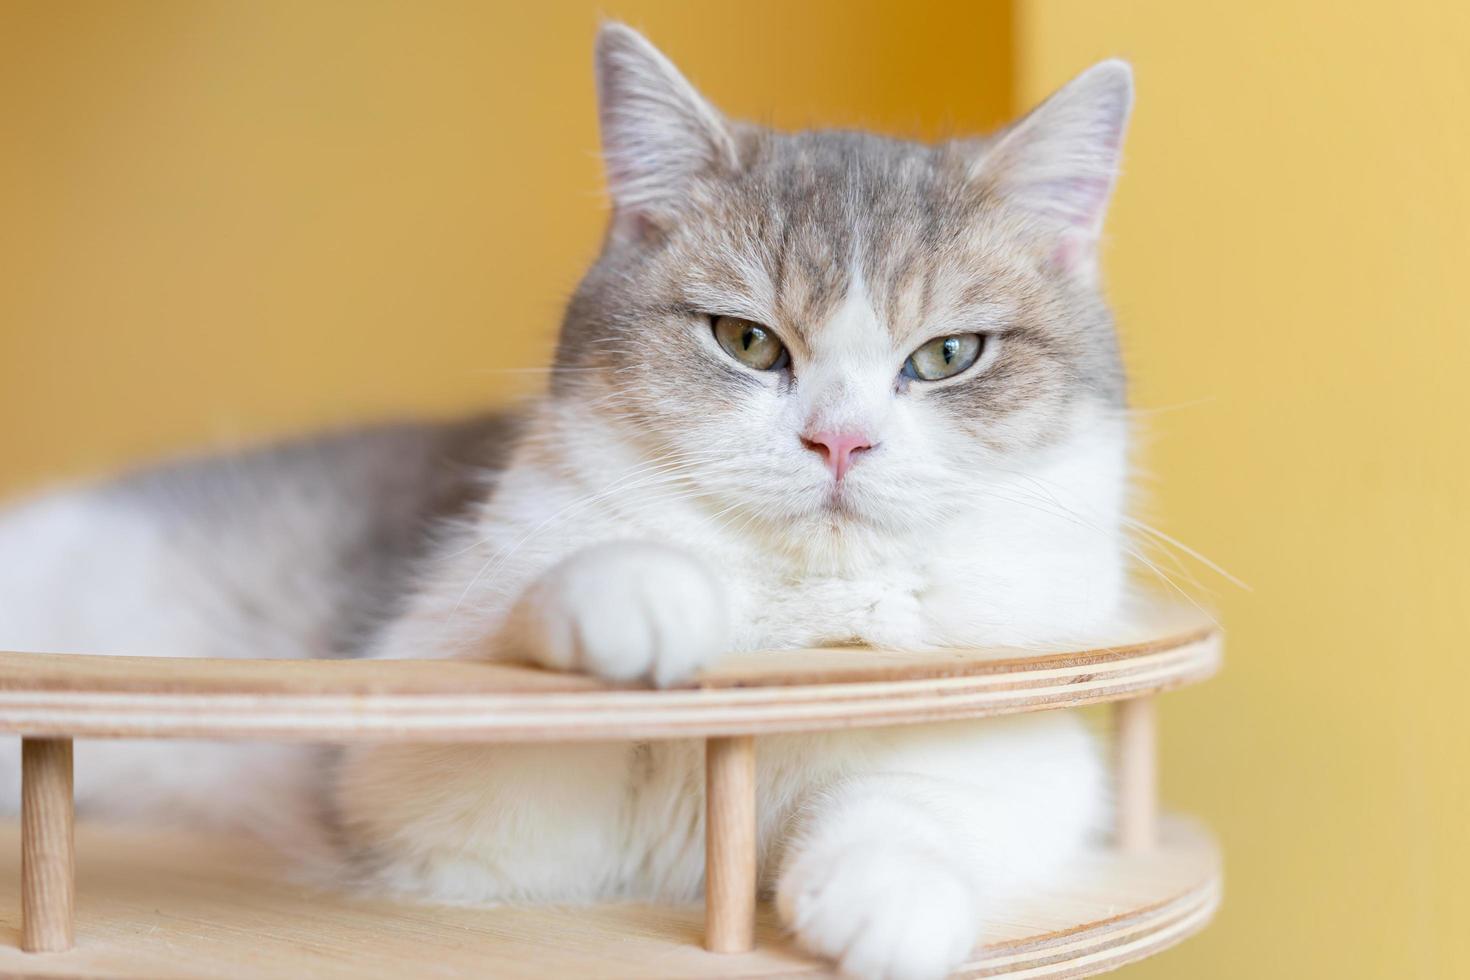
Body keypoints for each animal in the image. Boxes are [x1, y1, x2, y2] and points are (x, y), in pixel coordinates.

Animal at [0, 22, 1134, 980]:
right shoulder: (433, 795)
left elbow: (918, 795)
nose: (841, 441)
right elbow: (525, 642)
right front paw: (638, 595)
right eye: (747, 340)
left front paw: (892, 898)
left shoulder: (1025, 748)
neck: (793, 617)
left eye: (947, 355)